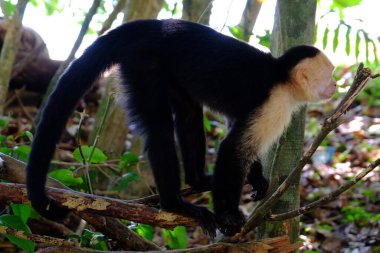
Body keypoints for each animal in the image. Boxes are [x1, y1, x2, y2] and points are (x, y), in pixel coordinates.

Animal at [26, 18, 336, 236]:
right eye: (331, 74)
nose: (335, 85)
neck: (281, 76)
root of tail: (148, 25)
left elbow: (235, 128)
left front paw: (256, 177)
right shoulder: (275, 103)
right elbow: (233, 148)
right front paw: (229, 216)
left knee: (188, 113)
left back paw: (198, 180)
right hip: (144, 63)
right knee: (160, 128)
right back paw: (175, 204)